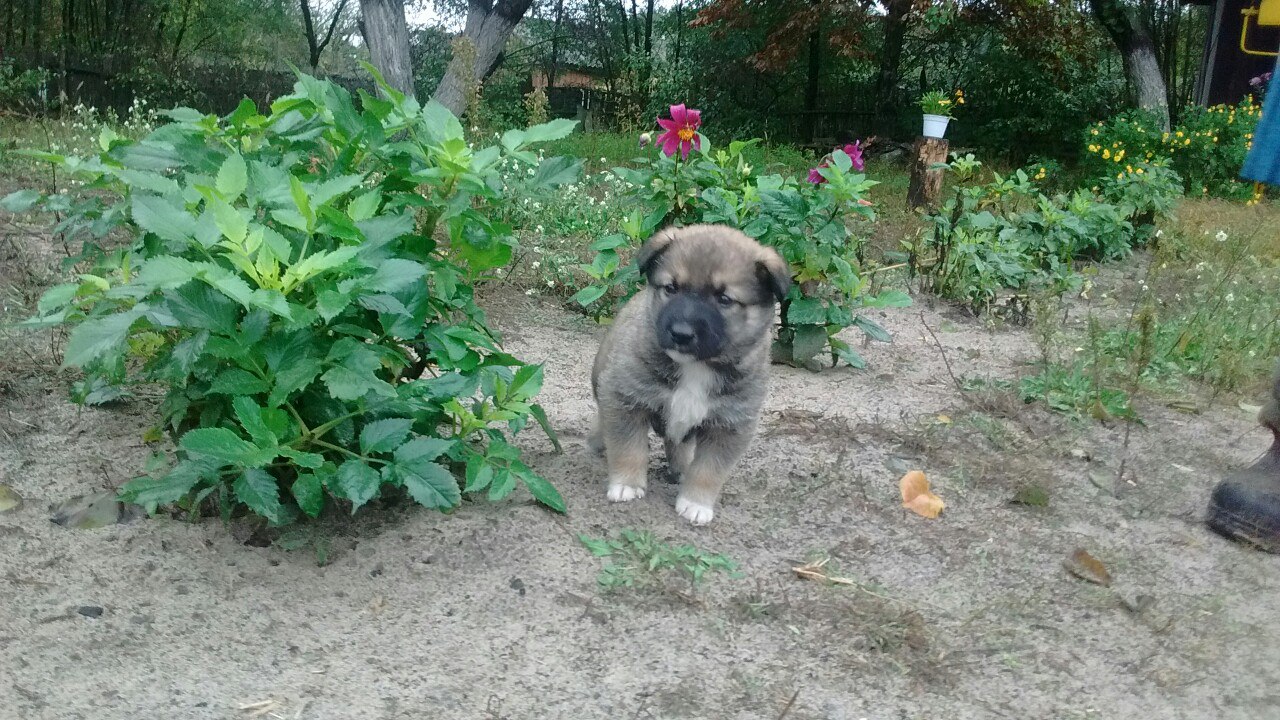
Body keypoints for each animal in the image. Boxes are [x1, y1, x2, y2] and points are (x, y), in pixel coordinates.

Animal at [587, 224, 791, 525]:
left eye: (724, 299)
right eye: (671, 288)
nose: (681, 333)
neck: (697, 368)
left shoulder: (730, 424)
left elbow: (708, 469)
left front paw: (696, 503)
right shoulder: (626, 397)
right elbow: (628, 447)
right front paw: (626, 484)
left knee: (679, 445)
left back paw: (681, 469)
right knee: (605, 422)